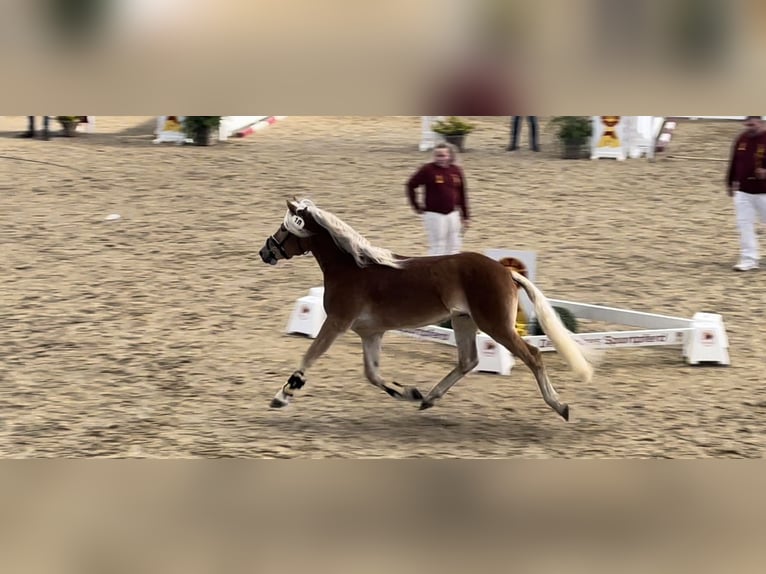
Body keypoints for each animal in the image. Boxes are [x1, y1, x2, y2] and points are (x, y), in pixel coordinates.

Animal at [260, 200, 596, 420]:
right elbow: (373, 374)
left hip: (496, 326)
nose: (265, 251)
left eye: (285, 228)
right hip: (464, 322)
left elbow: (308, 357)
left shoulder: (336, 323)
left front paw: (282, 396)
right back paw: (429, 399)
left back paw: (560, 406)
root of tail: (506, 271)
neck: (352, 268)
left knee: (533, 356)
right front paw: (409, 393)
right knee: (468, 361)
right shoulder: (370, 333)